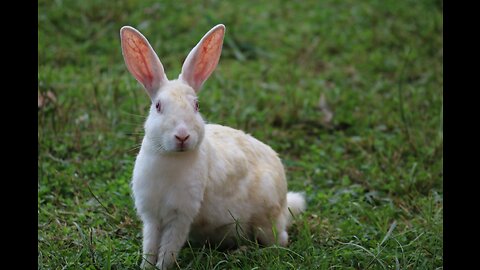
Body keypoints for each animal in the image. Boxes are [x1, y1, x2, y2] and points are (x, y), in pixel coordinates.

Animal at [120, 24, 308, 268]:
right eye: (158, 106)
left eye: (196, 106)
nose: (182, 136)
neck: (171, 158)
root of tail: (285, 203)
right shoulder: (152, 216)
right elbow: (150, 246)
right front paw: (146, 266)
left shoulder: (181, 216)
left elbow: (168, 248)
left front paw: (162, 267)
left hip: (265, 222)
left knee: (279, 241)